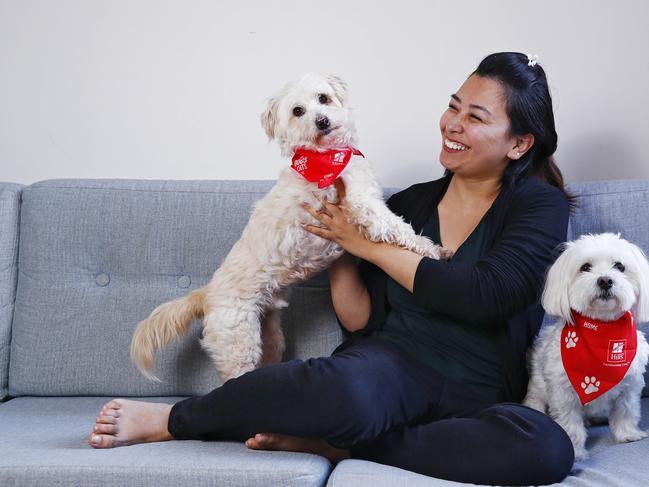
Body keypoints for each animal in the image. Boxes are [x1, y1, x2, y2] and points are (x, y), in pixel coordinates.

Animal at [132, 72, 446, 386]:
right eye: (298, 111)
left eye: (323, 98)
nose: (322, 121)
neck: (325, 157)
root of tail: (208, 292)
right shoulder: (365, 206)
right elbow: (400, 229)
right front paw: (433, 250)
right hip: (238, 344)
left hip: (270, 338)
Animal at [520, 233, 648, 462]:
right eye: (585, 267)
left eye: (619, 266)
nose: (605, 280)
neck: (603, 330)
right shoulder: (564, 394)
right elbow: (571, 425)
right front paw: (576, 451)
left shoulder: (630, 385)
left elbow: (626, 411)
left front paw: (628, 434)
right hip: (536, 390)